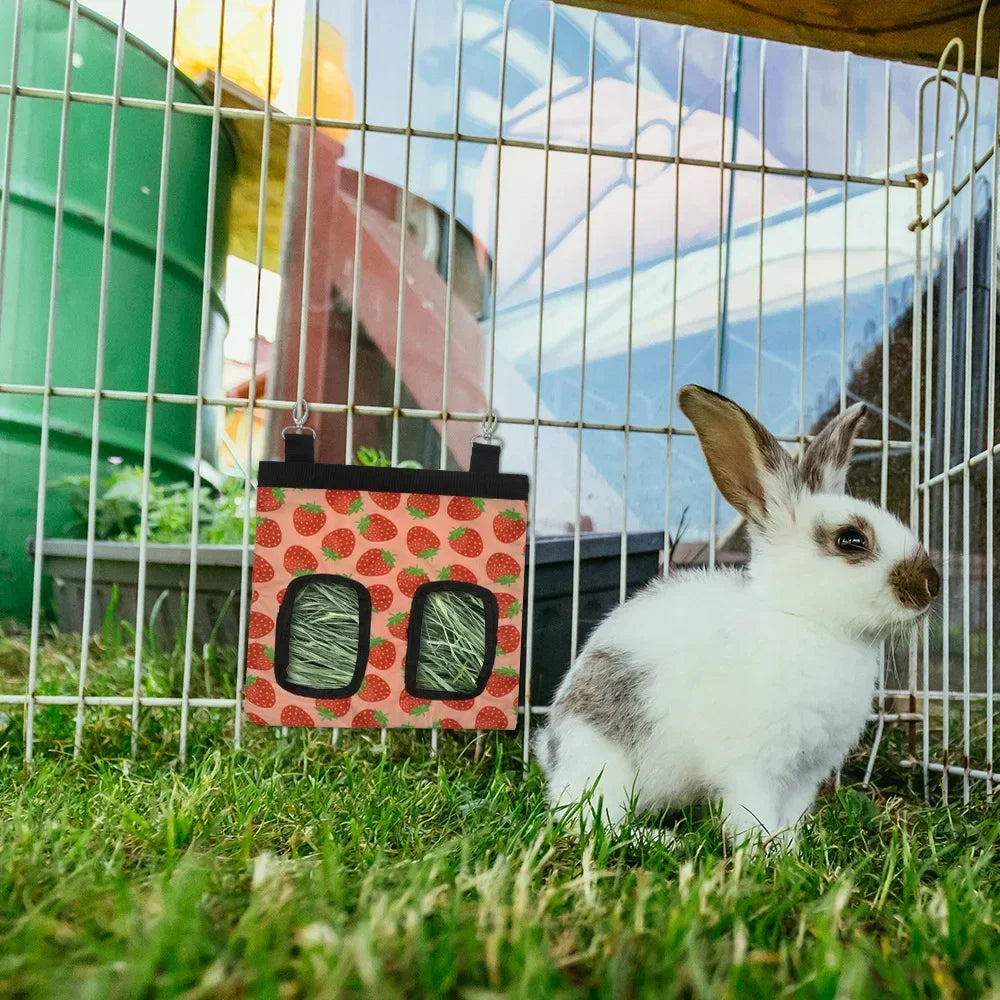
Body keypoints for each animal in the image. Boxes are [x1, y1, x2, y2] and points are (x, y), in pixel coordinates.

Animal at [540, 386, 936, 848]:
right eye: (850, 540)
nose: (931, 585)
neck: (805, 620)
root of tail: (551, 751)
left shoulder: (805, 773)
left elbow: (792, 812)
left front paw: (793, 844)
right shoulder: (754, 765)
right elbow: (752, 810)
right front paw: (766, 848)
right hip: (604, 764)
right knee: (592, 821)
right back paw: (665, 840)